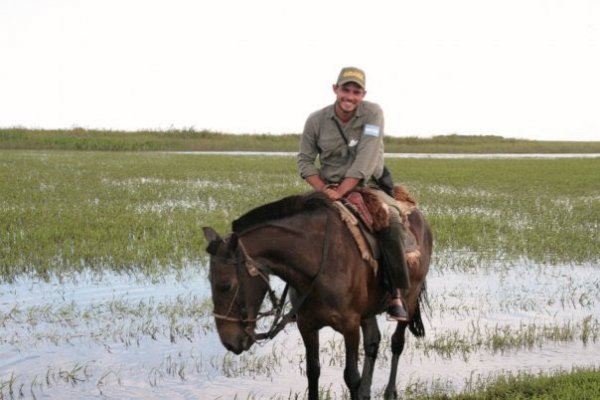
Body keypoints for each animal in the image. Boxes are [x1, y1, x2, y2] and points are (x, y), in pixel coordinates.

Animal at [202, 191, 432, 400]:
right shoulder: (307, 325)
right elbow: (313, 372)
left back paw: (390, 391)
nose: (229, 342)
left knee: (396, 343)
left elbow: (351, 376)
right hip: (368, 311)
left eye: (225, 286)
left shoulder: (350, 326)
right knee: (373, 342)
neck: (318, 261)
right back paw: (366, 392)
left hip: (409, 301)